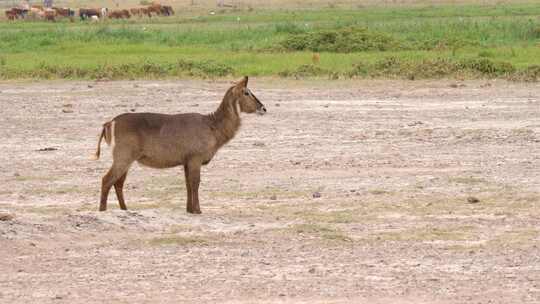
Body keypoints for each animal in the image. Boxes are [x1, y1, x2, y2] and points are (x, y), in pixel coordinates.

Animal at [93, 76, 266, 214]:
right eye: (246, 92)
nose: (263, 108)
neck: (213, 126)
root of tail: (110, 122)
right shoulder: (195, 159)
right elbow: (195, 183)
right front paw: (198, 210)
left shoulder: (186, 162)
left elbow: (188, 184)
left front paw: (189, 209)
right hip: (123, 157)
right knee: (107, 180)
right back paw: (103, 210)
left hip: (127, 160)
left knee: (118, 183)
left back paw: (125, 209)